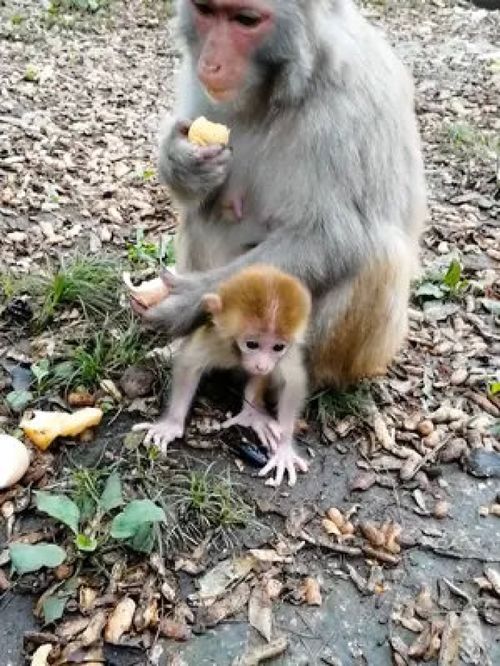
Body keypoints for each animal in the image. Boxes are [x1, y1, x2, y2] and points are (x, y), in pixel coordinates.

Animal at [135, 264, 310, 488]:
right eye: (252, 344)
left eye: (278, 347)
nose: (261, 364)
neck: (237, 351)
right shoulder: (217, 337)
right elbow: (189, 364)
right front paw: (171, 425)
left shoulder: (287, 353)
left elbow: (293, 383)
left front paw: (284, 448)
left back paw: (252, 412)